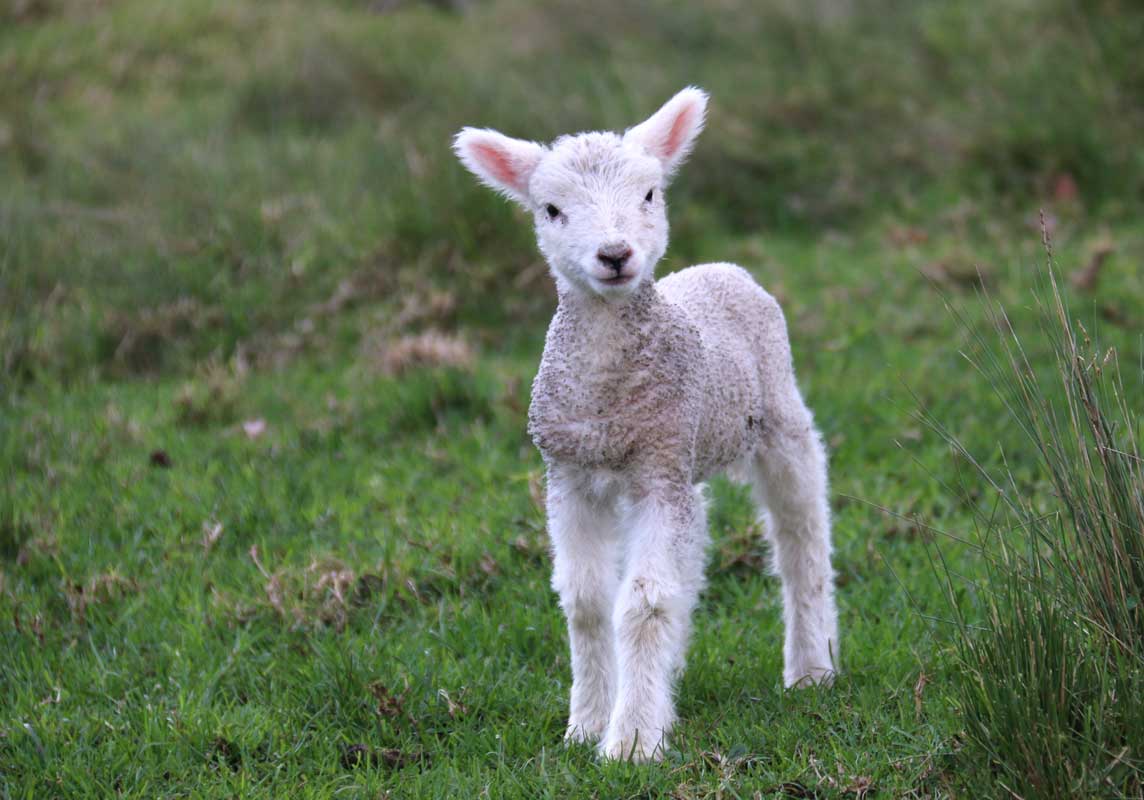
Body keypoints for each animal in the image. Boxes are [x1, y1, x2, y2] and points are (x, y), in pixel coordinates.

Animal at [453, 87, 838, 762]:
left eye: (650, 194)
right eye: (551, 209)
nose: (614, 255)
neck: (608, 396)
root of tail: (722, 268)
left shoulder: (657, 471)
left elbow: (643, 603)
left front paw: (631, 741)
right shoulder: (571, 475)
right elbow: (587, 602)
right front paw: (586, 725)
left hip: (778, 417)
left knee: (801, 538)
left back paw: (811, 668)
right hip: (687, 457)